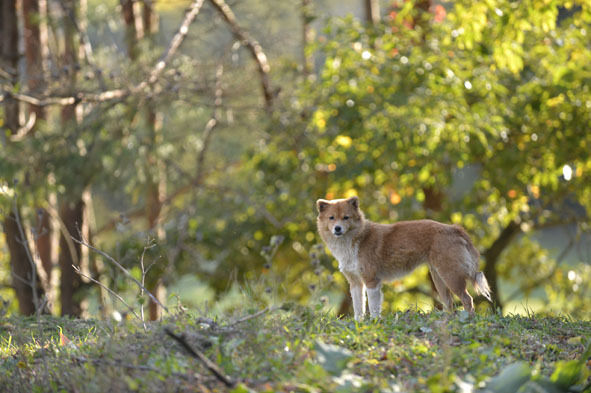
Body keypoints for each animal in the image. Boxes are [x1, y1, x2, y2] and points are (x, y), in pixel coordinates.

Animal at [316, 194, 492, 320]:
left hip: (451, 276)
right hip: (439, 278)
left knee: (467, 299)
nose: (337, 229)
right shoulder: (355, 283)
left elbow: (373, 306)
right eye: (332, 218)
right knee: (449, 303)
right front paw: (359, 323)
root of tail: (453, 228)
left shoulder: (372, 281)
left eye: (346, 217)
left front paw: (374, 322)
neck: (356, 239)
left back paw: (469, 320)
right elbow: (358, 307)